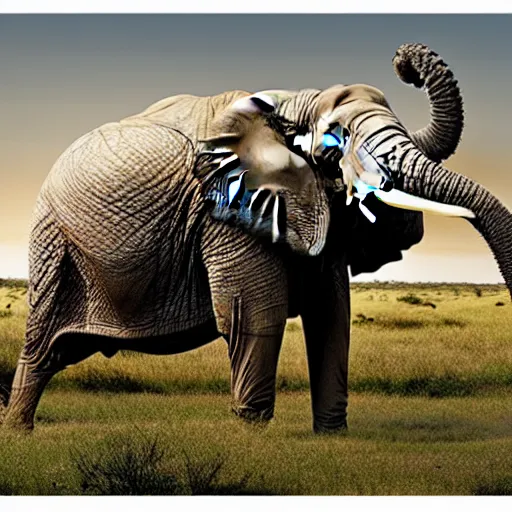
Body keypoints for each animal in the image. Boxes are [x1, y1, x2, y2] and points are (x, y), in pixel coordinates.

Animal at [1, 42, 488, 432]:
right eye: (336, 141)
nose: (404, 65)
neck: (289, 104)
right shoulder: (226, 202)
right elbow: (256, 312)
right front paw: (252, 433)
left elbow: (331, 315)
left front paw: (332, 434)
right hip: (55, 241)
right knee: (42, 344)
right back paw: (20, 431)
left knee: (60, 350)